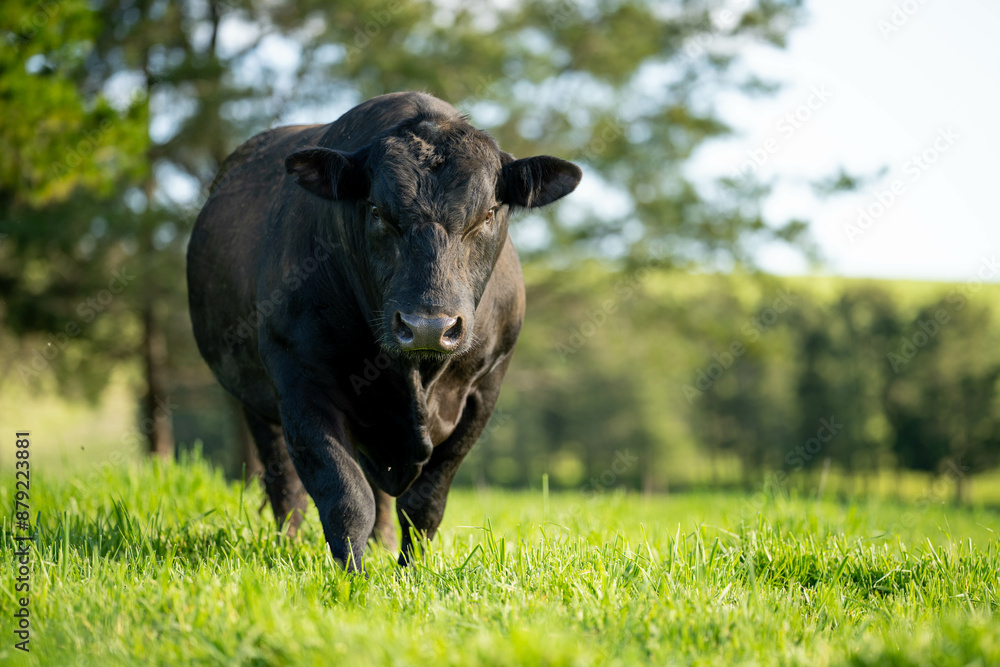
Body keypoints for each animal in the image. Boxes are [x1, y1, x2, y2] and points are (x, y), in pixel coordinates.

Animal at [186, 91, 581, 570]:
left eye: (487, 214)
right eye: (377, 211)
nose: (429, 327)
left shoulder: (484, 389)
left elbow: (424, 502)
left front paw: (412, 571)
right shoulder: (300, 379)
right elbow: (345, 494)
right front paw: (352, 575)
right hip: (254, 400)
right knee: (286, 487)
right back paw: (290, 546)